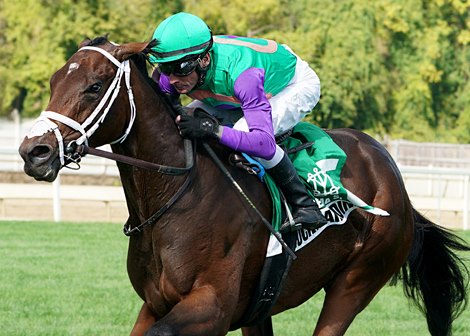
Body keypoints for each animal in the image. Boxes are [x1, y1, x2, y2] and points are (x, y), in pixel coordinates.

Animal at [16, 36, 468, 336]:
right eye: (55, 81)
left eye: (94, 87)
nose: (33, 151)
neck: (177, 197)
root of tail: (391, 174)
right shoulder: (156, 302)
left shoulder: (211, 306)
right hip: (262, 306)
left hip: (356, 281)